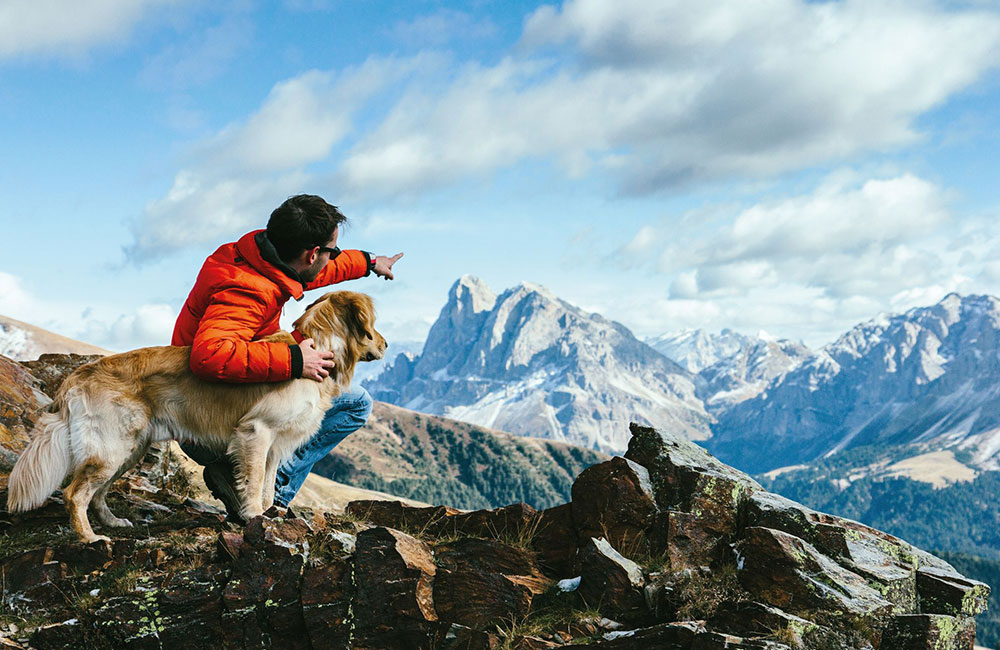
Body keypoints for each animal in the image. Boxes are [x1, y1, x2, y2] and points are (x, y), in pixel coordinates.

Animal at [5, 290, 384, 540]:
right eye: (373, 325)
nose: (386, 345)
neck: (315, 348)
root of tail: (77, 375)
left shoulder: (276, 444)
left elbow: (267, 484)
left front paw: (268, 514)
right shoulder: (256, 432)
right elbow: (254, 483)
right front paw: (253, 516)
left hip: (129, 450)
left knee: (97, 493)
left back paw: (112, 523)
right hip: (111, 447)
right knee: (75, 494)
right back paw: (90, 538)